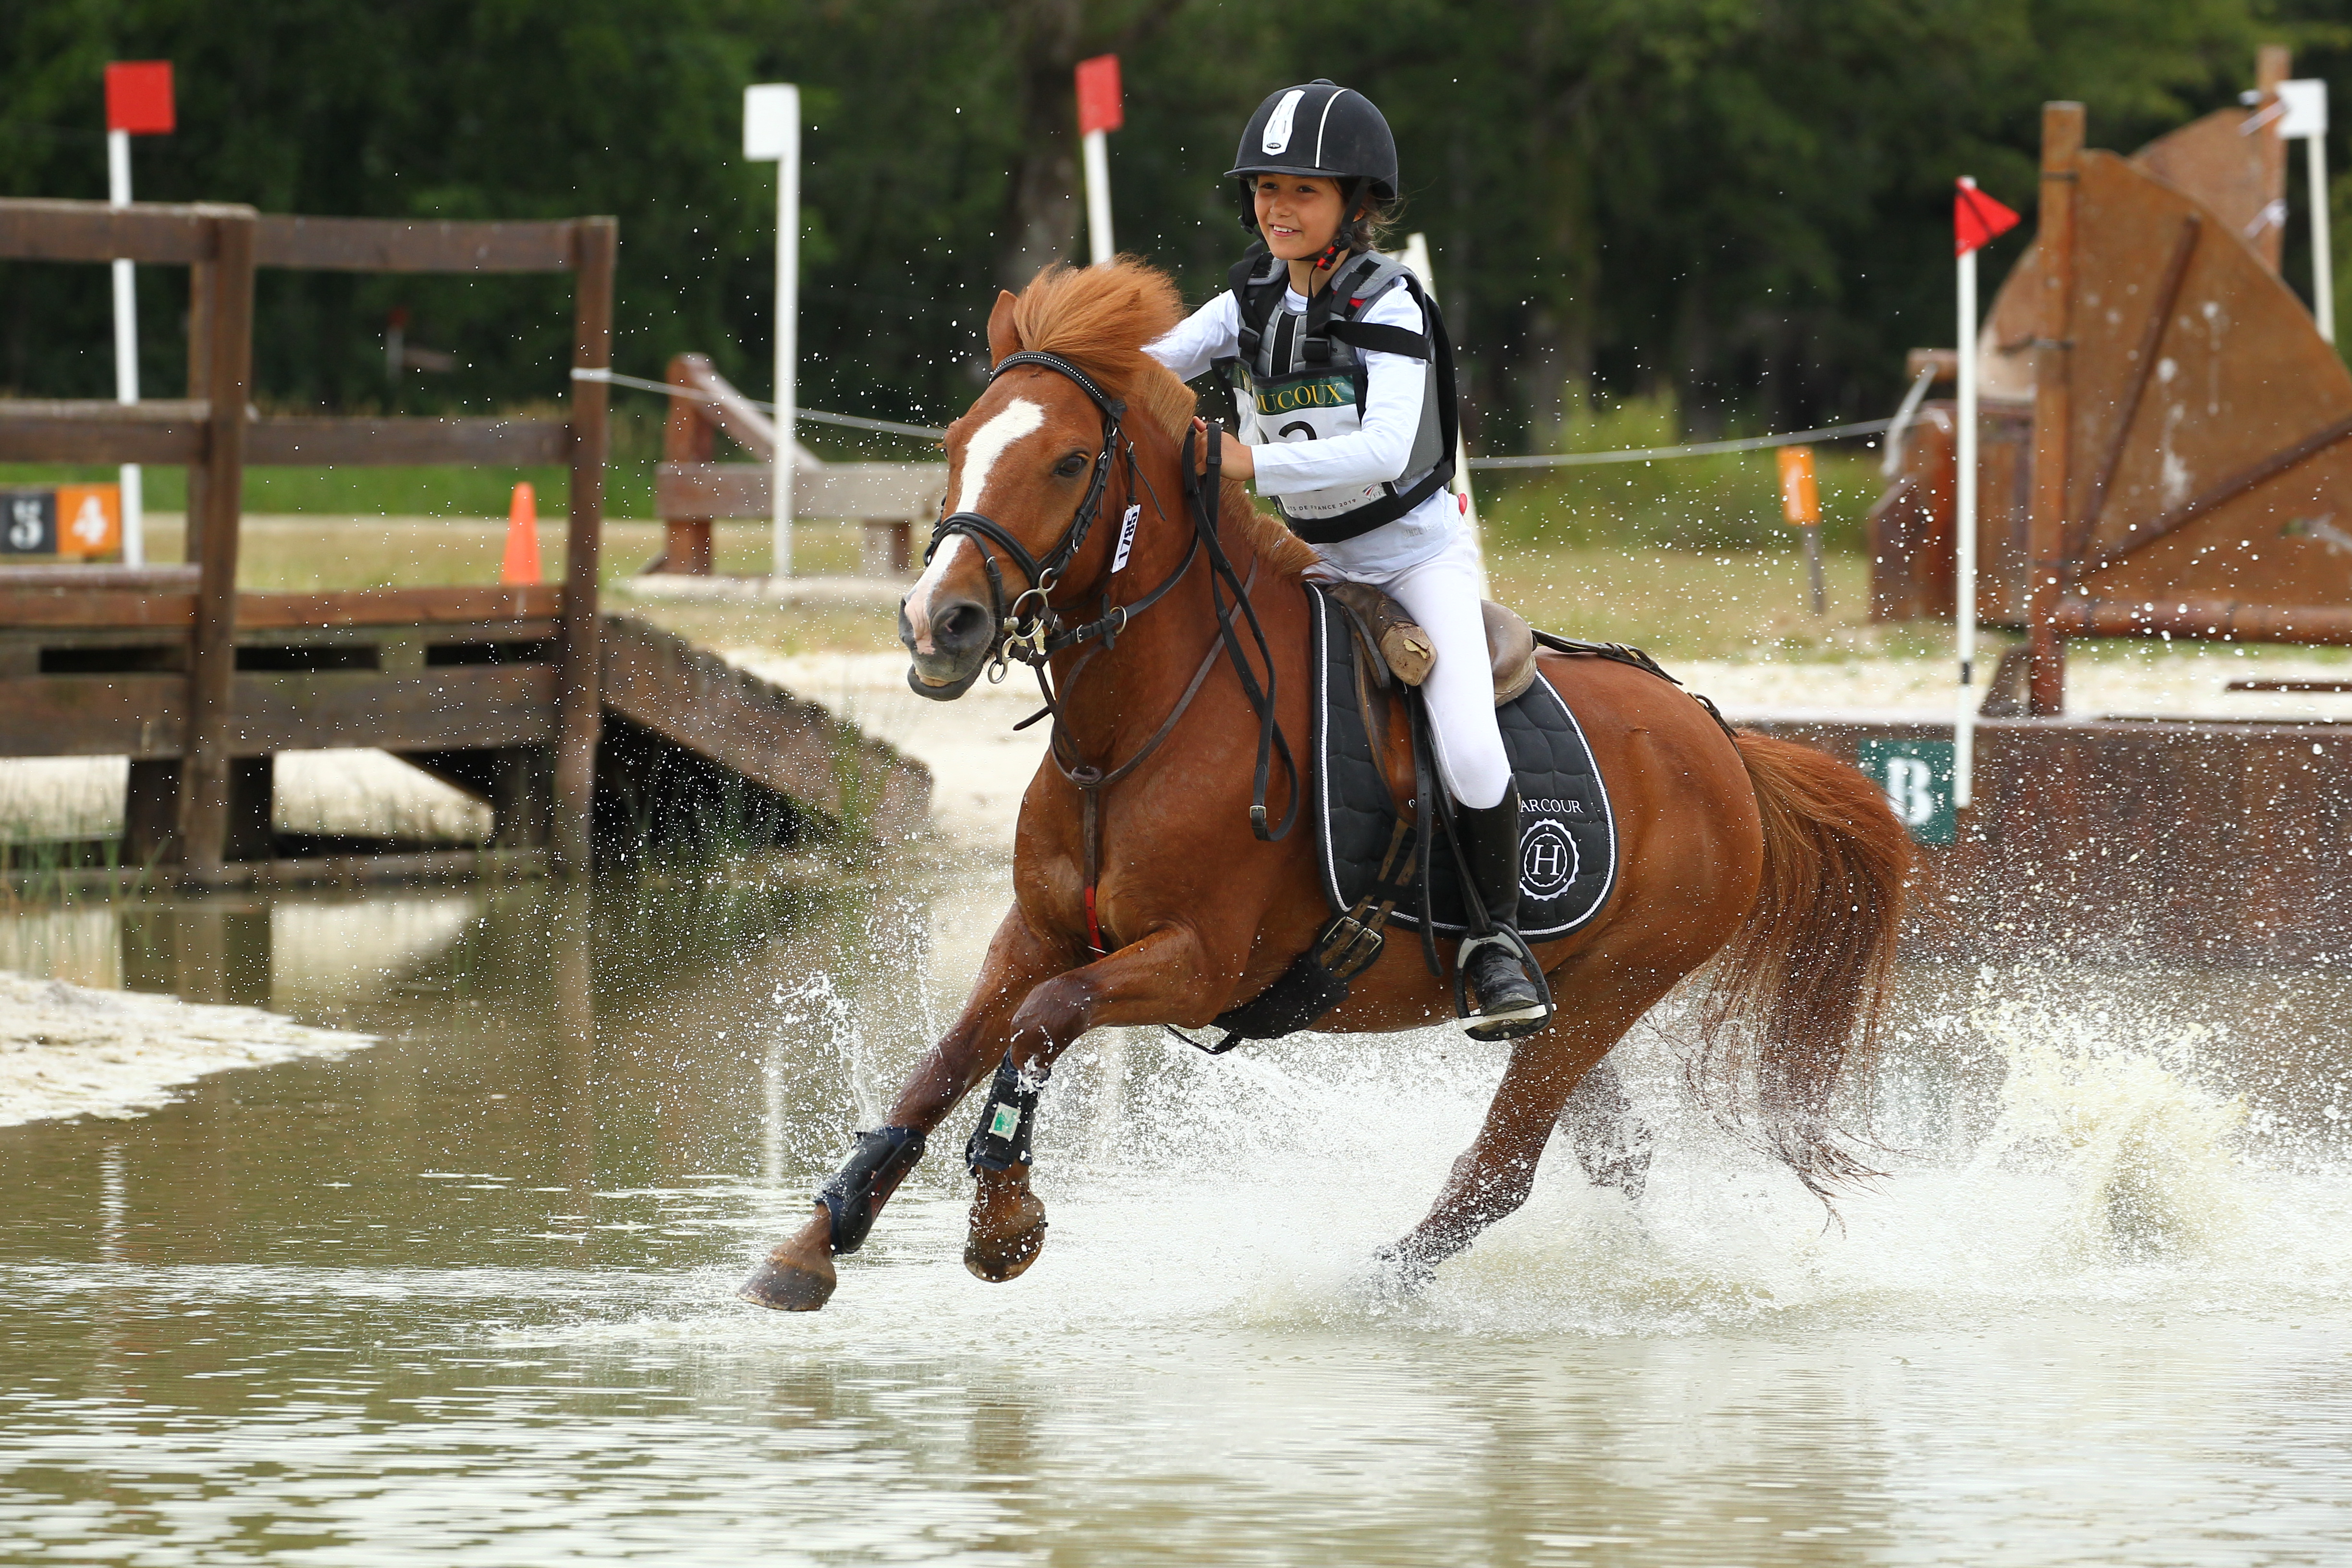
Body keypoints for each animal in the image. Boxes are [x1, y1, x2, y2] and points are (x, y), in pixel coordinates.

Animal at [738, 261, 1910, 1316]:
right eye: (954, 448)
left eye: (1070, 462)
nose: (939, 625)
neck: (1129, 734)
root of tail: (1723, 739)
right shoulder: (1036, 931)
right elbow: (939, 1066)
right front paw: (812, 1244)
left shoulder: (1195, 963)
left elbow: (1039, 1023)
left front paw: (1002, 1224)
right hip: (1577, 996)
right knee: (1611, 1151)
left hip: (1618, 985)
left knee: (1500, 1169)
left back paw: (1371, 1288)